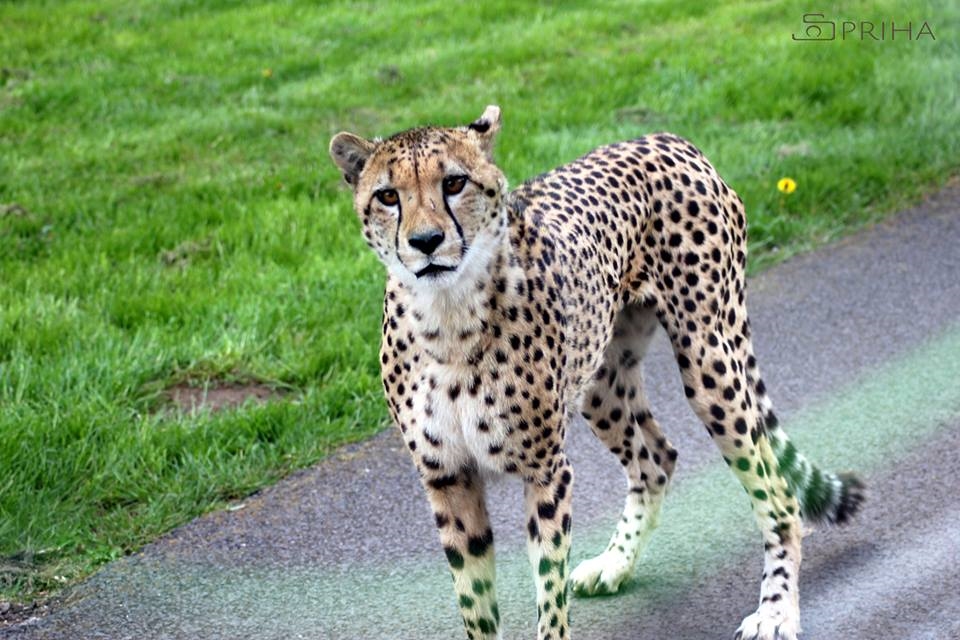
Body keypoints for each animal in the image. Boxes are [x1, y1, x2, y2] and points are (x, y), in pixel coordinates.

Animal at [328, 105, 865, 640]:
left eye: (454, 183)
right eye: (388, 196)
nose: (426, 241)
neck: (447, 320)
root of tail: (666, 139)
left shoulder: (546, 471)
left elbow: (549, 589)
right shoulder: (448, 478)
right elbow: (475, 602)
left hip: (710, 361)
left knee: (778, 495)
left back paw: (776, 611)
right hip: (601, 381)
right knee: (657, 457)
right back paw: (616, 564)